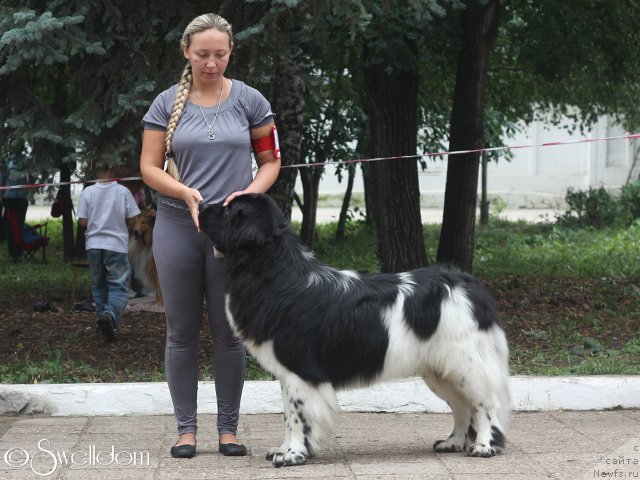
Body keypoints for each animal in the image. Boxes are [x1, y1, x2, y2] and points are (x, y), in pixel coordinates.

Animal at [199, 193, 510, 466]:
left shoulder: (301, 371)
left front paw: (294, 455)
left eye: (228, 210)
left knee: (484, 404)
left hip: (466, 364)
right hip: (440, 371)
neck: (273, 271)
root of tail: (469, 284)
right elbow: (288, 415)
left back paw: (483, 446)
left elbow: (298, 416)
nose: (200, 205)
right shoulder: (288, 374)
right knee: (462, 406)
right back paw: (453, 442)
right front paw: (284, 449)